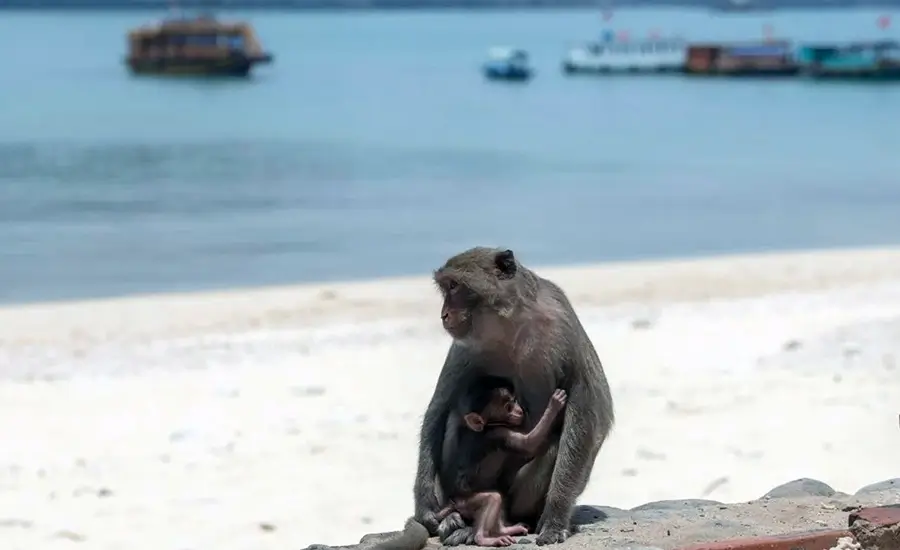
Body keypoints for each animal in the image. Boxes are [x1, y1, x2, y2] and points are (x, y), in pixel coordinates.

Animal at [436, 379, 569, 547]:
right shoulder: (498, 433)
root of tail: (452, 503)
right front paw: (554, 406)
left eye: (514, 400)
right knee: (492, 499)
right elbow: (529, 443)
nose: (519, 410)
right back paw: (483, 538)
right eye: (508, 407)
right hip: (465, 501)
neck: (488, 425)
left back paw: (505, 530)